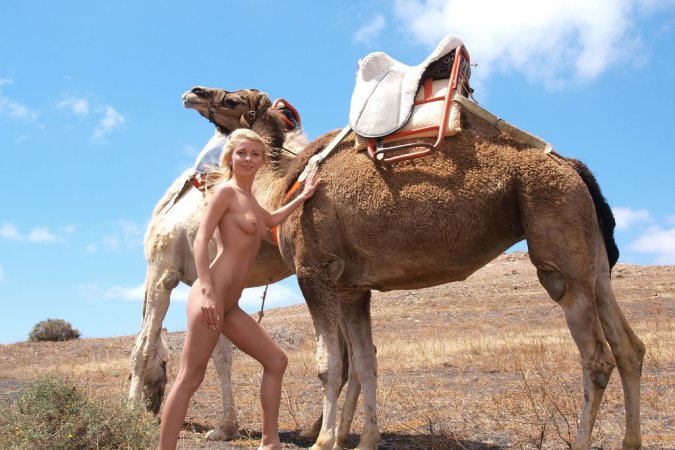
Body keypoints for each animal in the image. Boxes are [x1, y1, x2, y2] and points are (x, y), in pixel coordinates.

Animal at [186, 86, 645, 450]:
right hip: (590, 254)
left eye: (230, 99)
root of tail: (572, 167)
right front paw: (366, 441)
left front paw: (323, 441)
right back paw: (631, 441)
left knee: (596, 355)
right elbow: (366, 361)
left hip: (558, 241)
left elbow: (329, 363)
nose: (192, 93)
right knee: (629, 346)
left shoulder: (312, 270)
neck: (284, 187)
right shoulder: (353, 287)